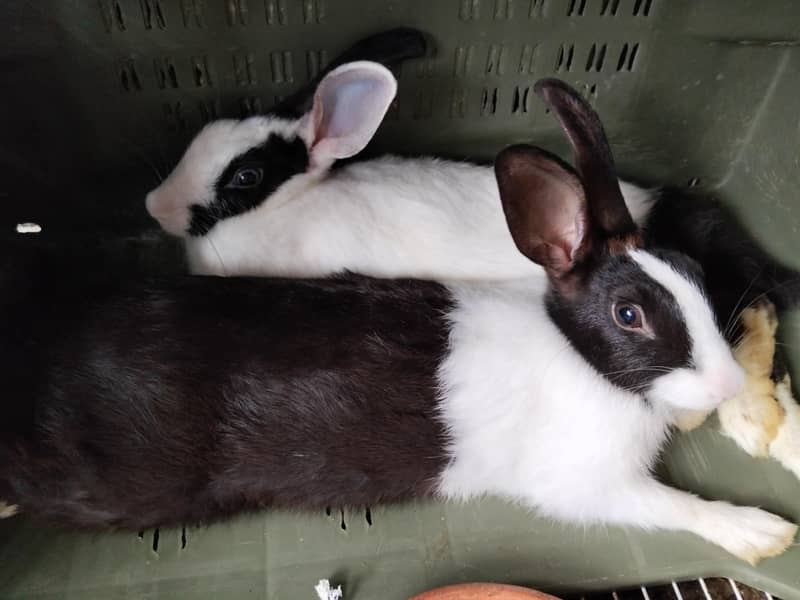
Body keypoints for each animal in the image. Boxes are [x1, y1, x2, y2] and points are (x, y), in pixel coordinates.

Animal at [2, 78, 796, 566]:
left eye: (692, 279)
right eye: (628, 313)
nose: (722, 386)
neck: (578, 355)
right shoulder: (590, 486)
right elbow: (674, 506)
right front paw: (764, 533)